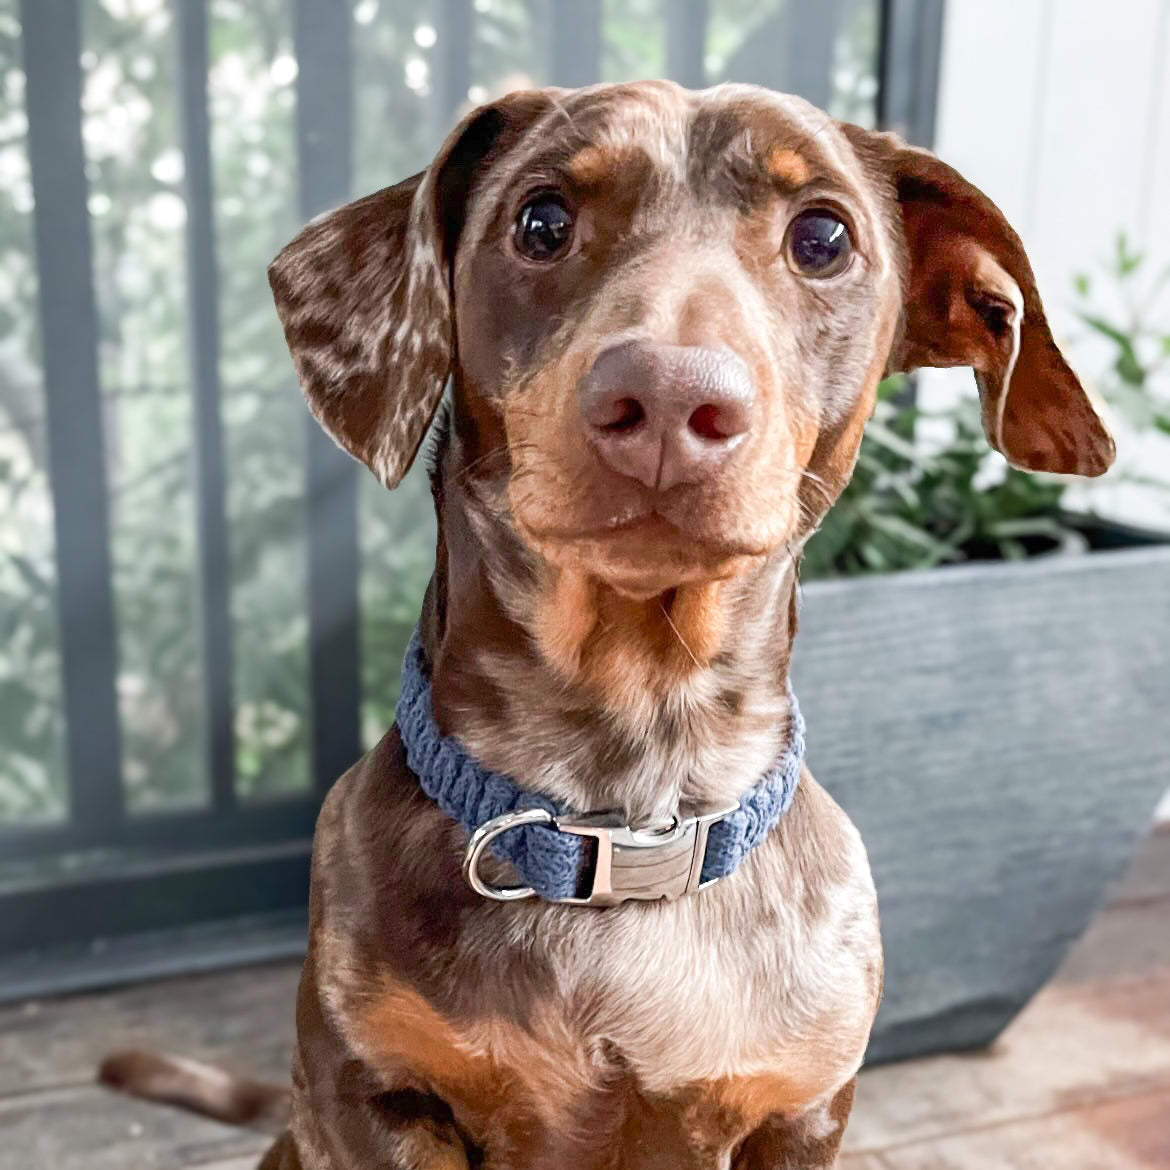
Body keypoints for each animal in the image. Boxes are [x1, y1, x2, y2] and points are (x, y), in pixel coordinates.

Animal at [102, 82, 1113, 1170]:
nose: (669, 398)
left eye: (824, 237)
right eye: (542, 221)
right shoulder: (372, 1088)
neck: (623, 814)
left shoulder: (802, 1109)